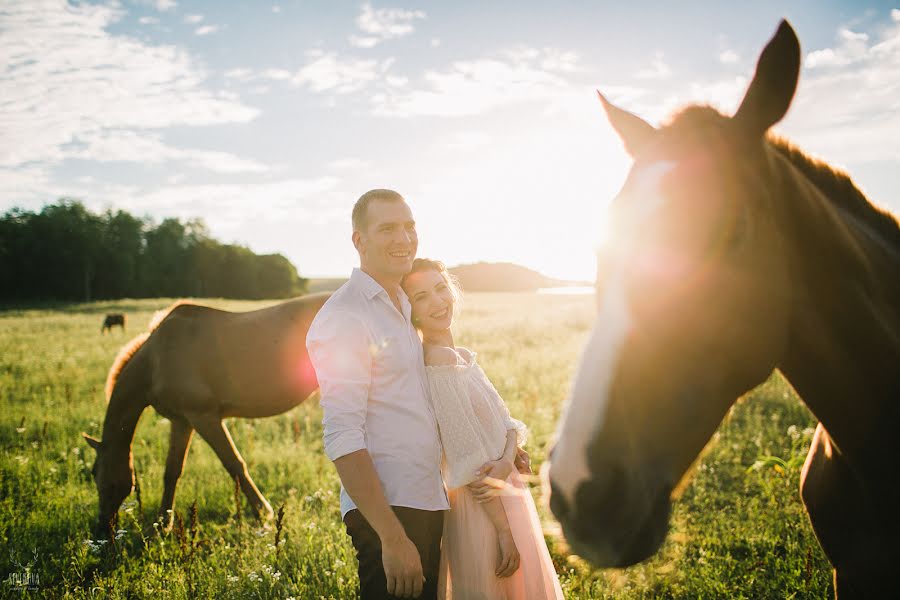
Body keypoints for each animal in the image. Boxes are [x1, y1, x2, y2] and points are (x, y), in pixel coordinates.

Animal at [82, 292, 330, 532]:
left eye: (94, 471)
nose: (103, 526)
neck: (156, 360)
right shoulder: (181, 421)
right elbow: (172, 471)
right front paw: (163, 524)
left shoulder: (204, 418)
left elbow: (235, 464)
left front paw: (262, 513)